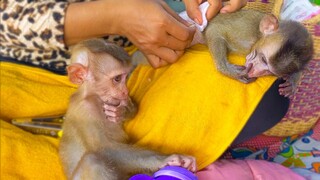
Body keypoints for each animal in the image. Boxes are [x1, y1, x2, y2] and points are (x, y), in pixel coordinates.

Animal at [58, 38, 196, 179]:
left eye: (126, 77)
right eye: (117, 78)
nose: (125, 91)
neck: (94, 96)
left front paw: (121, 112)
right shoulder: (86, 110)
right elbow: (106, 149)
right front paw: (165, 159)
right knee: (93, 161)